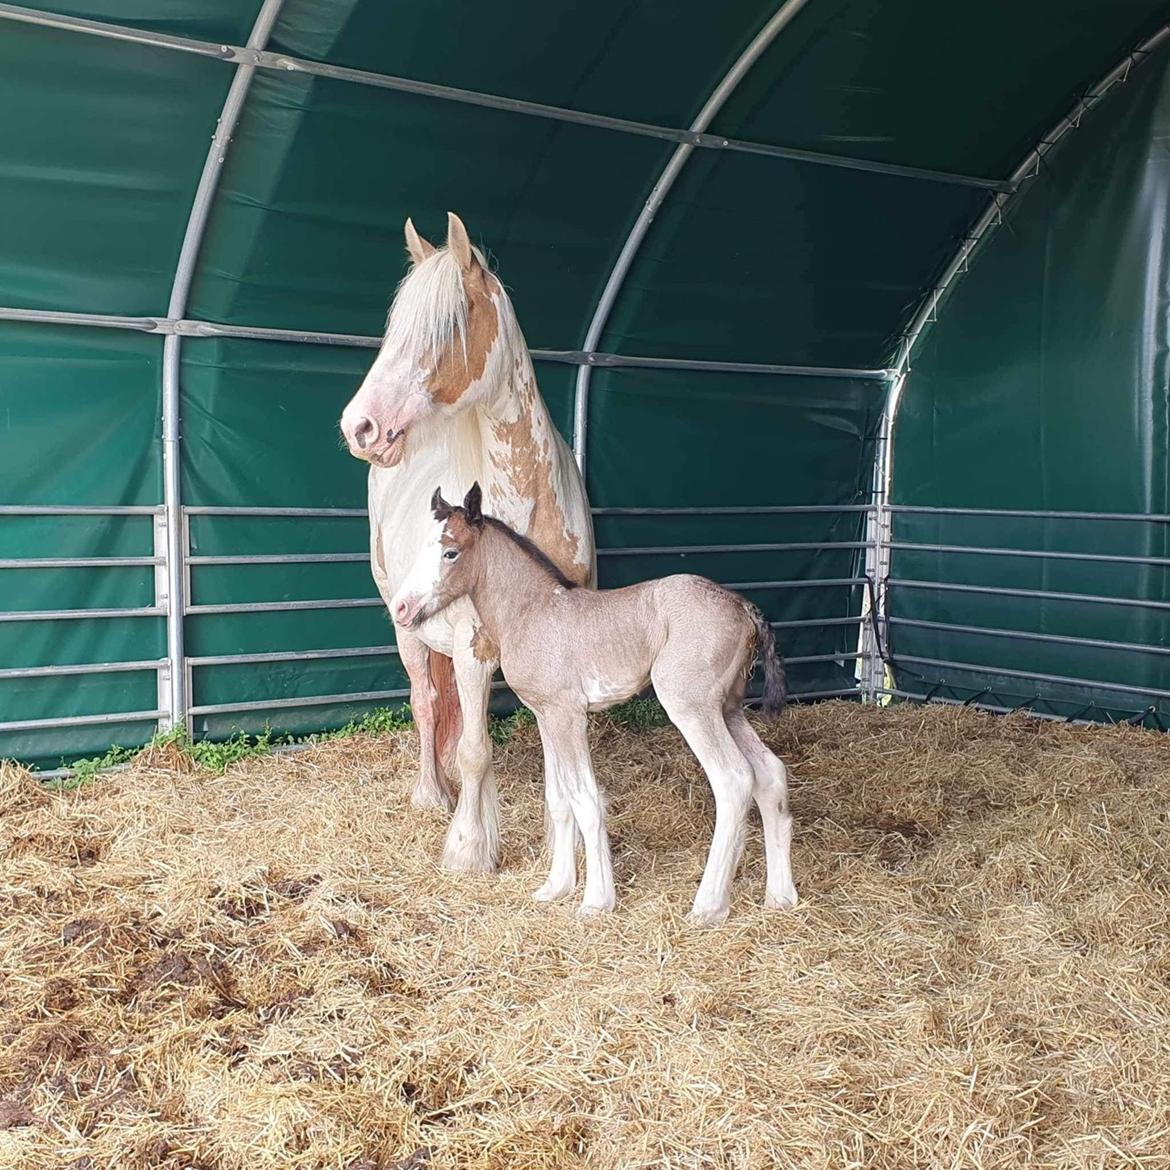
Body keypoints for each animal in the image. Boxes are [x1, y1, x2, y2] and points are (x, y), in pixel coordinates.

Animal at [339, 210, 594, 875]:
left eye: (446, 327)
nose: (360, 426)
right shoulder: (474, 645)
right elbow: (477, 749)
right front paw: (469, 849)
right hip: (407, 625)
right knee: (428, 703)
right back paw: (434, 794)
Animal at [393, 484, 795, 921]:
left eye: (451, 552)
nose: (401, 608)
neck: (532, 612)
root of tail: (743, 607)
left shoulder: (569, 715)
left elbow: (585, 799)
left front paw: (596, 901)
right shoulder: (545, 715)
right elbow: (559, 799)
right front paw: (555, 887)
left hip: (692, 705)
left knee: (733, 779)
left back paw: (708, 907)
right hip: (729, 708)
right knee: (770, 773)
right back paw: (780, 897)